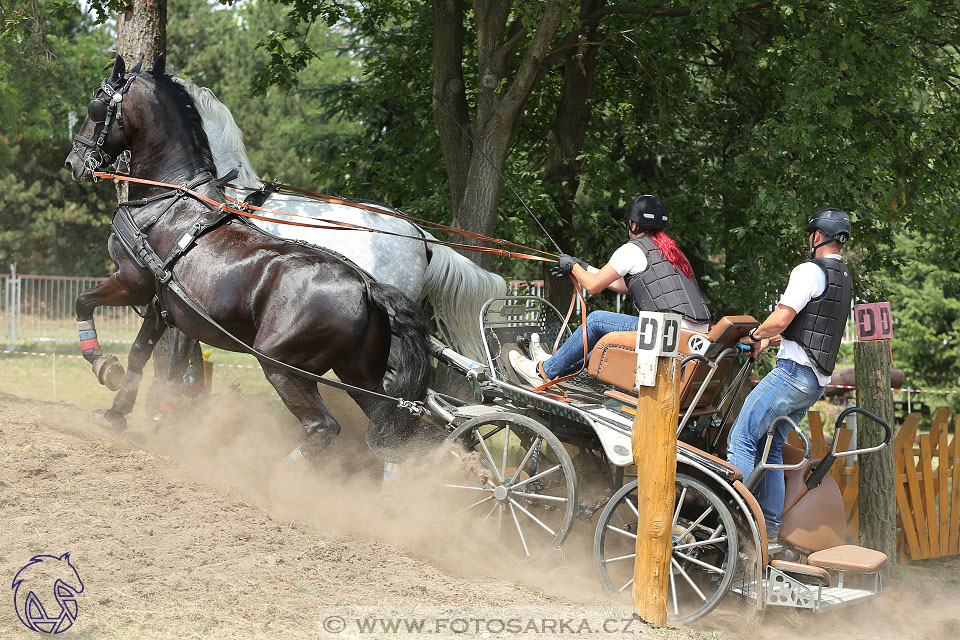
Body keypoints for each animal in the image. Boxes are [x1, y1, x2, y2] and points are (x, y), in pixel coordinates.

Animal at [62, 56, 430, 460]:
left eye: (96, 104)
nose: (73, 162)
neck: (167, 199)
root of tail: (367, 288)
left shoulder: (133, 282)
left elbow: (83, 303)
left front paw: (102, 366)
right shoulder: (164, 304)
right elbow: (141, 354)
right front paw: (119, 412)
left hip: (282, 365)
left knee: (322, 427)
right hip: (357, 373)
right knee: (387, 429)